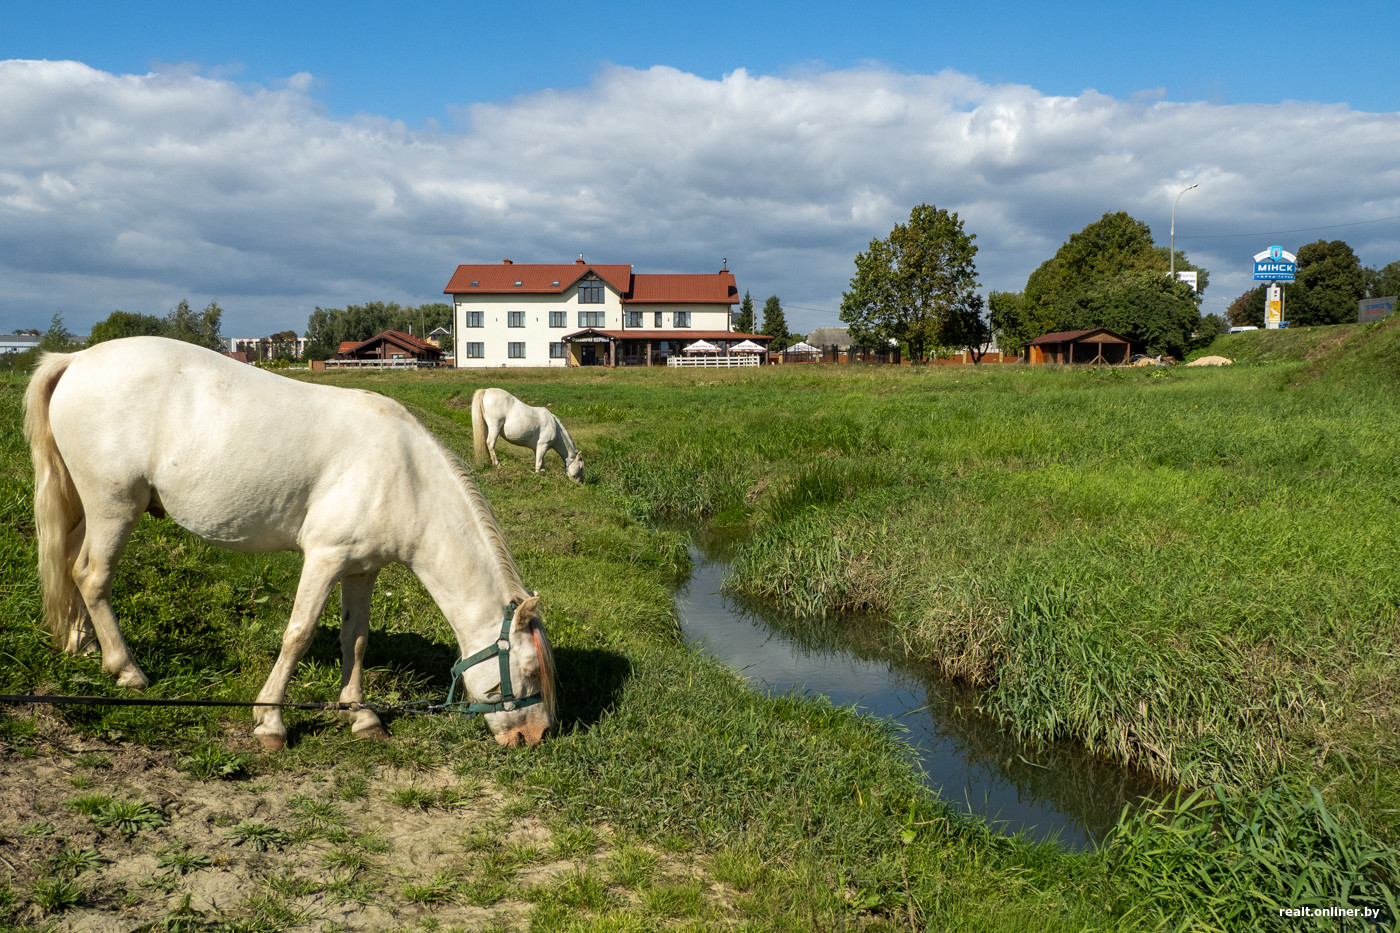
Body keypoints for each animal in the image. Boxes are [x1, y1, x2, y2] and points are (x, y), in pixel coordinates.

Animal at [21, 334, 554, 750]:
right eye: (529, 670)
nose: (535, 737)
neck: (404, 473)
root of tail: (76, 359)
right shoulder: (324, 557)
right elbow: (298, 634)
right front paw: (270, 720)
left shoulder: (362, 568)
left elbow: (355, 639)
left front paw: (361, 715)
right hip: (114, 506)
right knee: (93, 576)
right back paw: (127, 670)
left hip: (87, 507)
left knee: (70, 565)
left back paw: (82, 647)